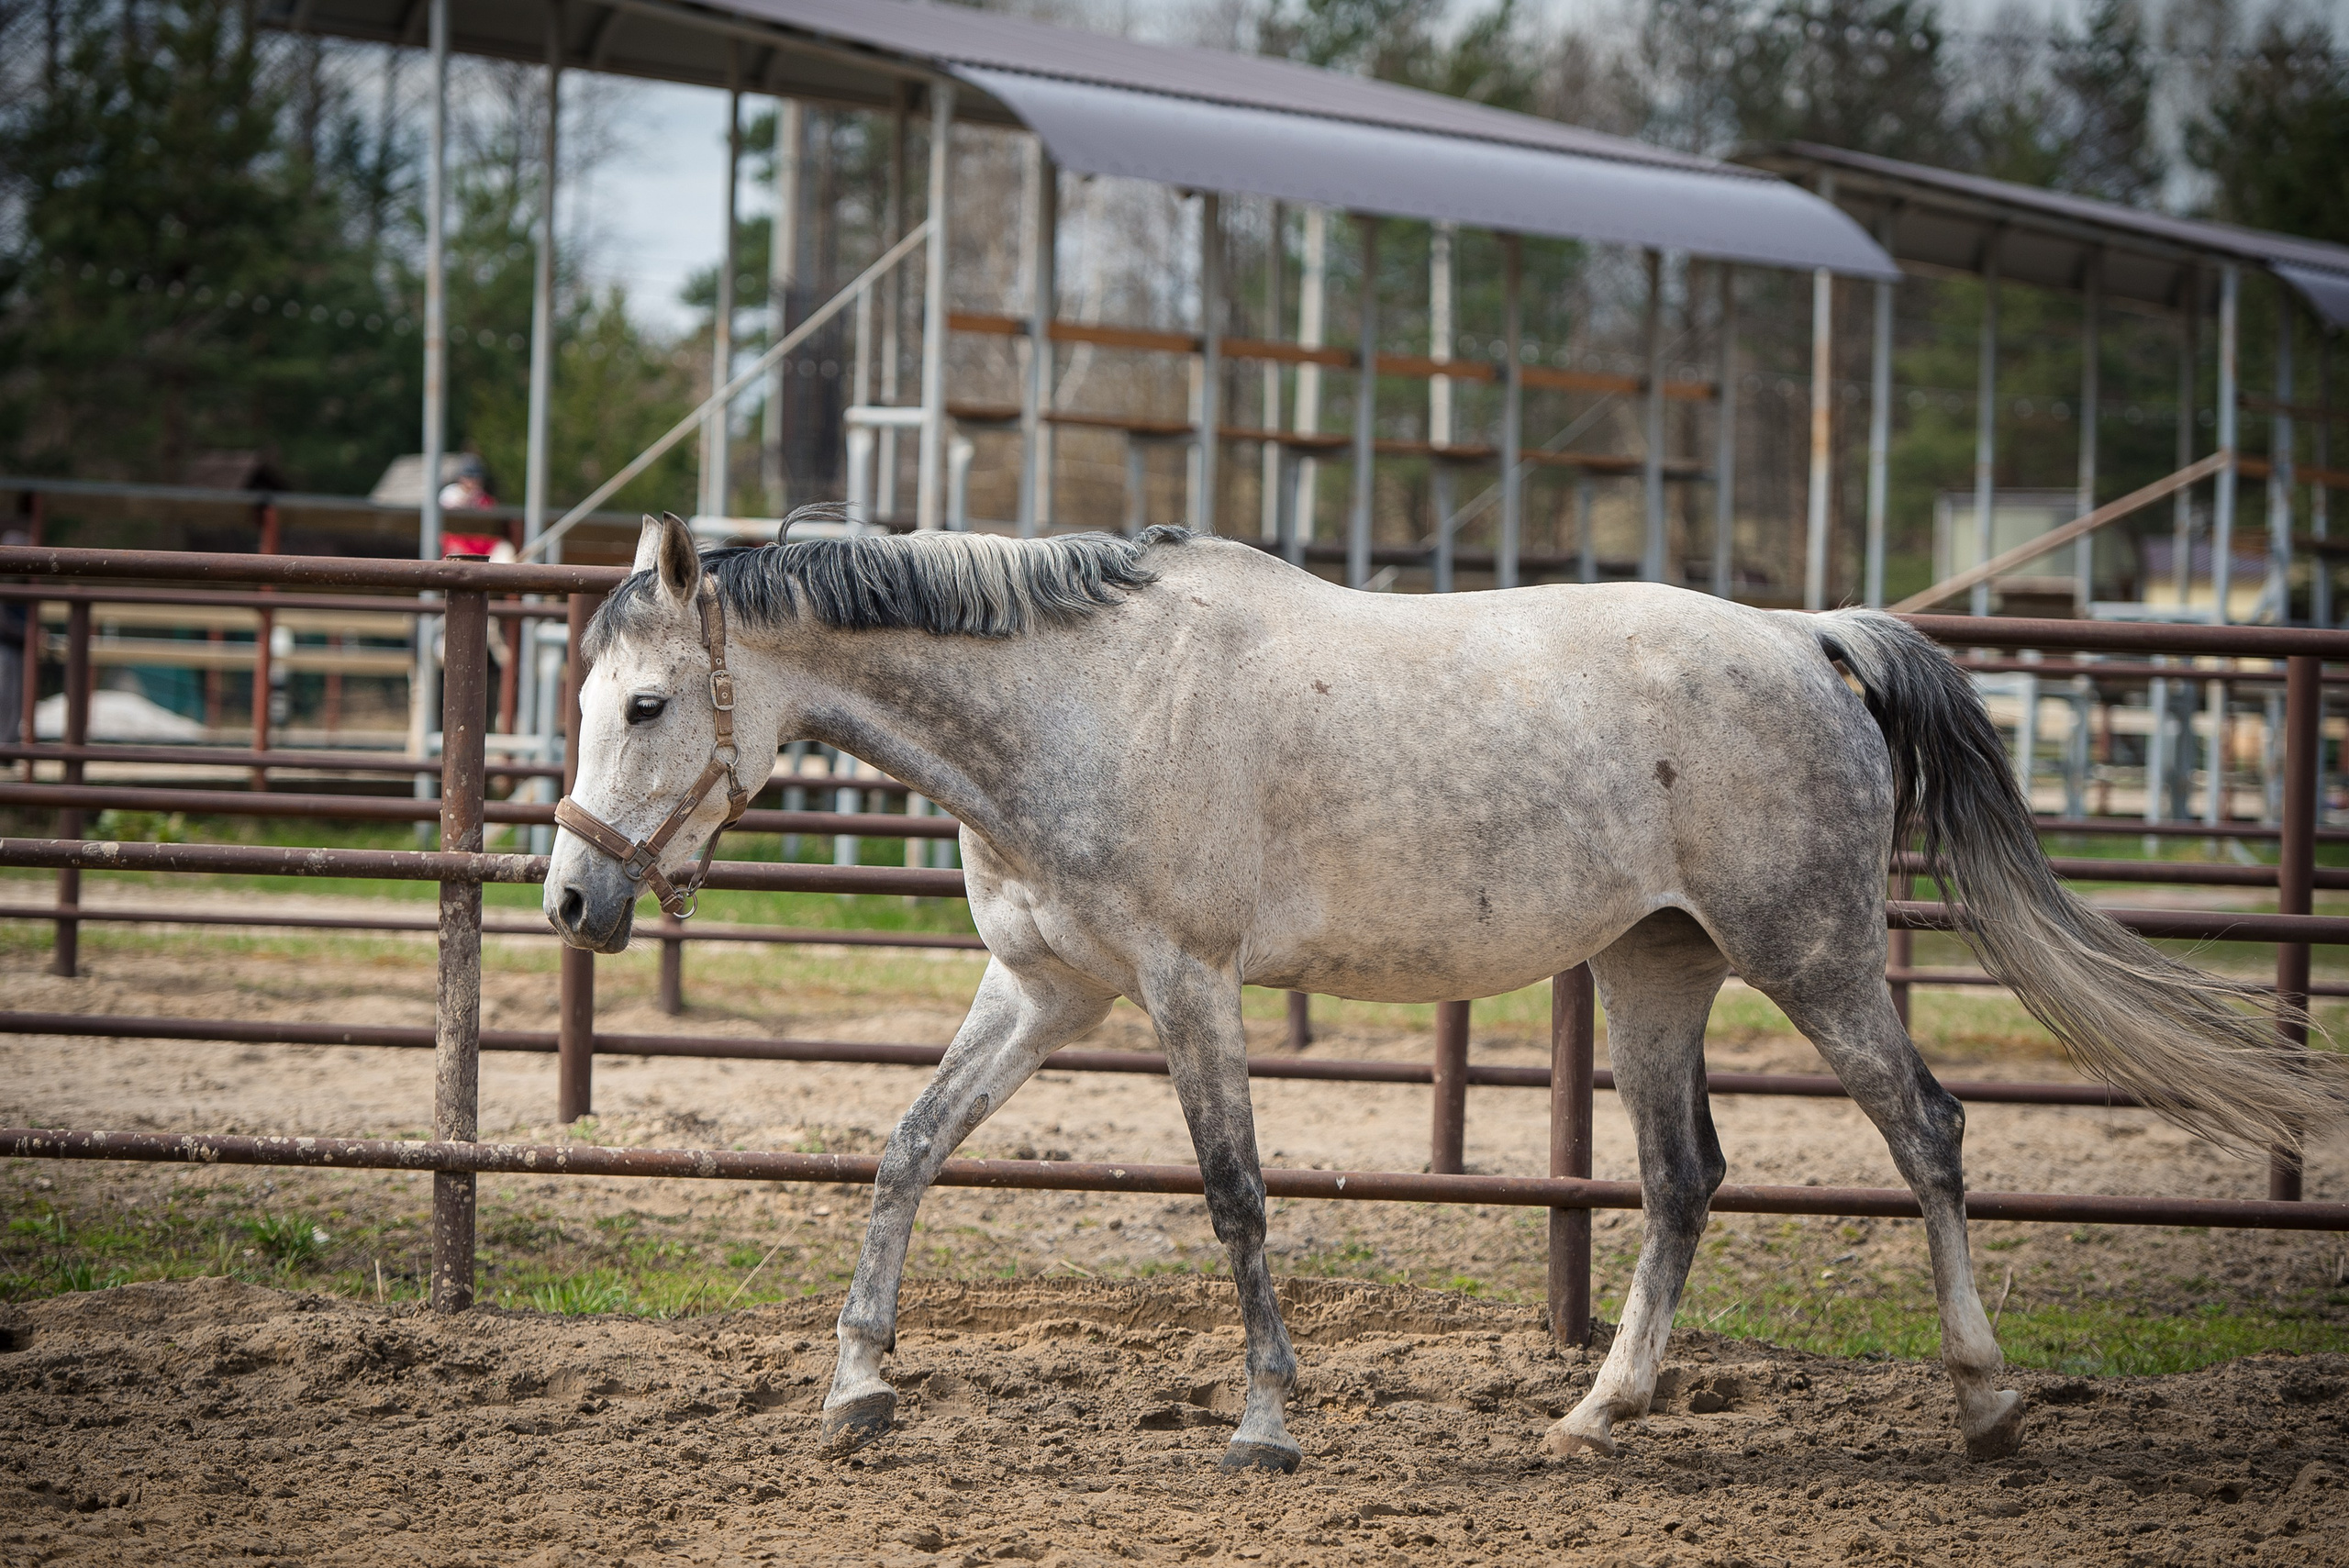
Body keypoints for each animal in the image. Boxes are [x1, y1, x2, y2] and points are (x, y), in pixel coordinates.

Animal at [545, 512, 2335, 1473]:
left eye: (644, 703)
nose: (569, 896)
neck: (1083, 700)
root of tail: (1808, 639)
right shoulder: (1049, 991)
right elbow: (907, 1149)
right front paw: (858, 1388)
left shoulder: (1188, 986)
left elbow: (1234, 1192)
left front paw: (1267, 1422)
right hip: (1655, 968)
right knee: (1684, 1178)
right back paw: (1600, 1414)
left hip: (1812, 955)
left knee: (1932, 1136)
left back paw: (1987, 1406)